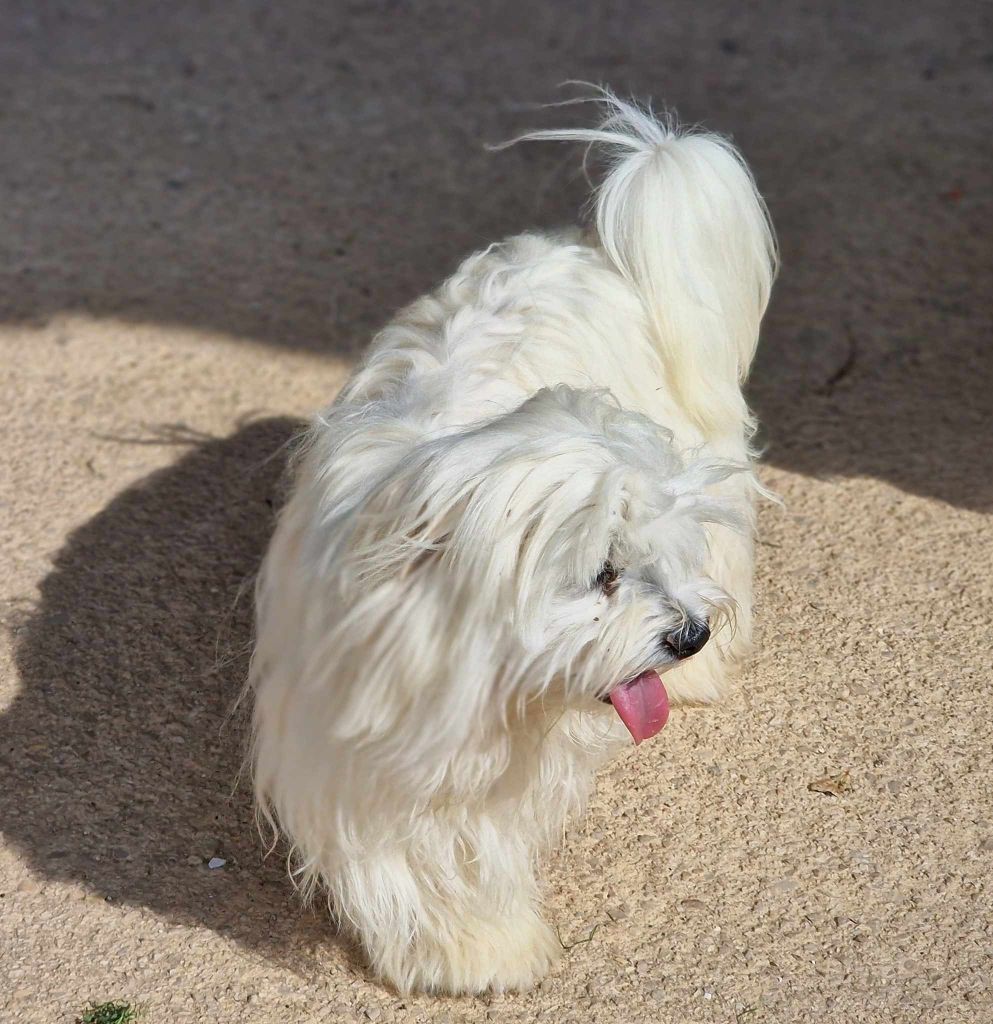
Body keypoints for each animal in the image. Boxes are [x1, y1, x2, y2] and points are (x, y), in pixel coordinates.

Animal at [245, 94, 773, 991]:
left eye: (639, 564)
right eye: (600, 575)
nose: (688, 634)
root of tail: (594, 249)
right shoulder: (357, 758)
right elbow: (409, 860)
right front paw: (467, 951)